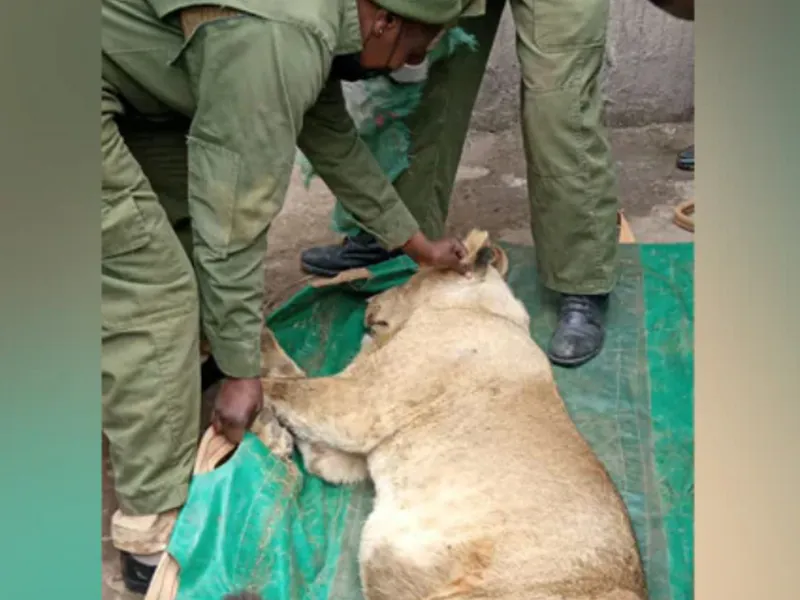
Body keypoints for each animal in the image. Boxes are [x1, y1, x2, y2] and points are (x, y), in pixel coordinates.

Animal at [262, 231, 644, 600]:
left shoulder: (358, 406)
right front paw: (275, 431)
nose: (369, 304)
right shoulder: (338, 452)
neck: (485, 311)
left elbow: (282, 386)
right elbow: (292, 381)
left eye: (411, 278)